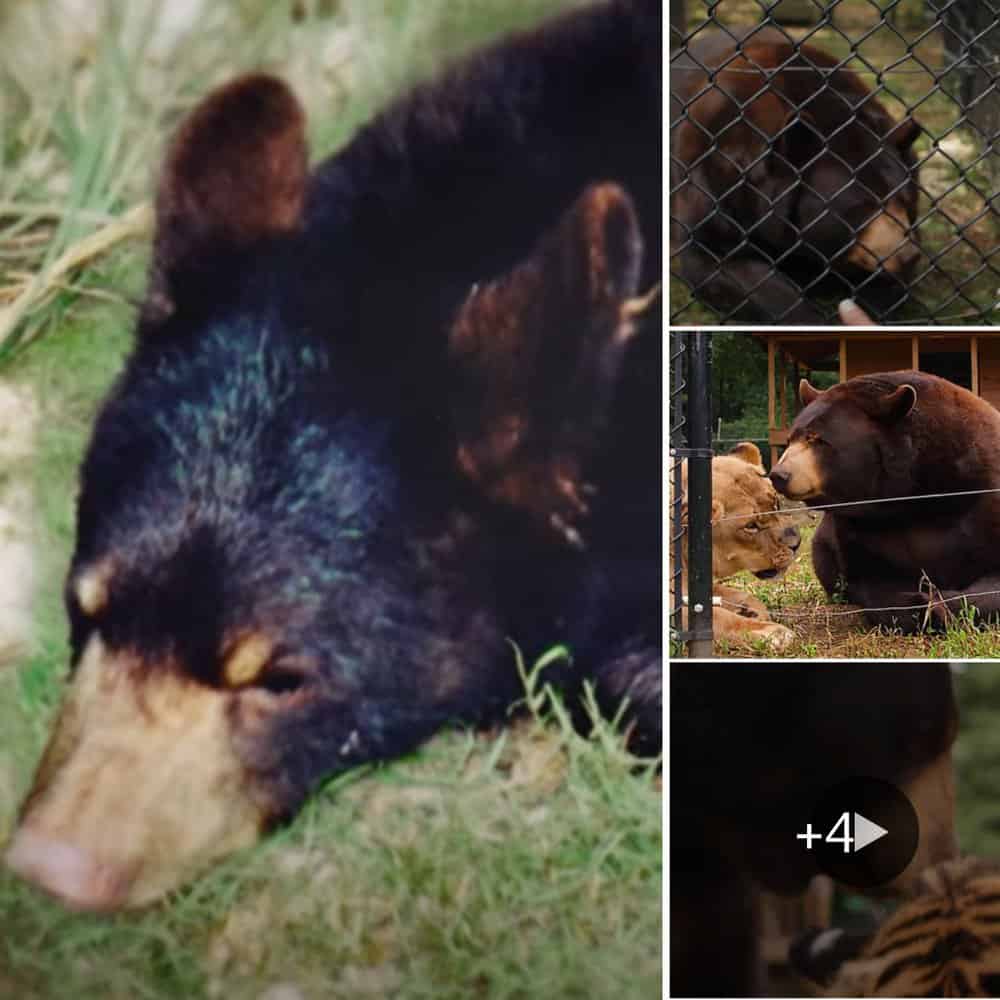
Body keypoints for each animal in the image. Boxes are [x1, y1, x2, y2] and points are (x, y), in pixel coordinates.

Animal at [676, 442, 800, 649]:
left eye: (776, 504)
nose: (797, 544)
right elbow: (721, 618)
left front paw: (750, 610)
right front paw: (773, 632)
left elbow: (734, 594)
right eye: (750, 526)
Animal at [769, 371, 1000, 632]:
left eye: (818, 439)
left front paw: (944, 605)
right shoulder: (861, 528)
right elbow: (872, 580)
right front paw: (920, 606)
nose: (779, 475)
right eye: (790, 439)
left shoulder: (981, 503)